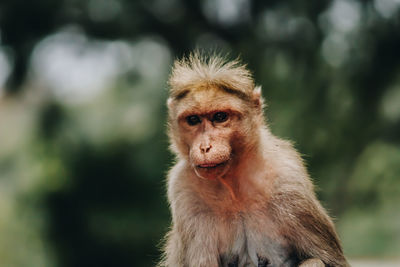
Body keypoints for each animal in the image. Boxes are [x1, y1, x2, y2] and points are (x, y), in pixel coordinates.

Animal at [159, 52, 350, 267]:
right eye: (193, 120)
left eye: (220, 116)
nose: (205, 147)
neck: (234, 187)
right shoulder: (184, 190)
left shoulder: (290, 181)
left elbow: (331, 261)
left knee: (314, 261)